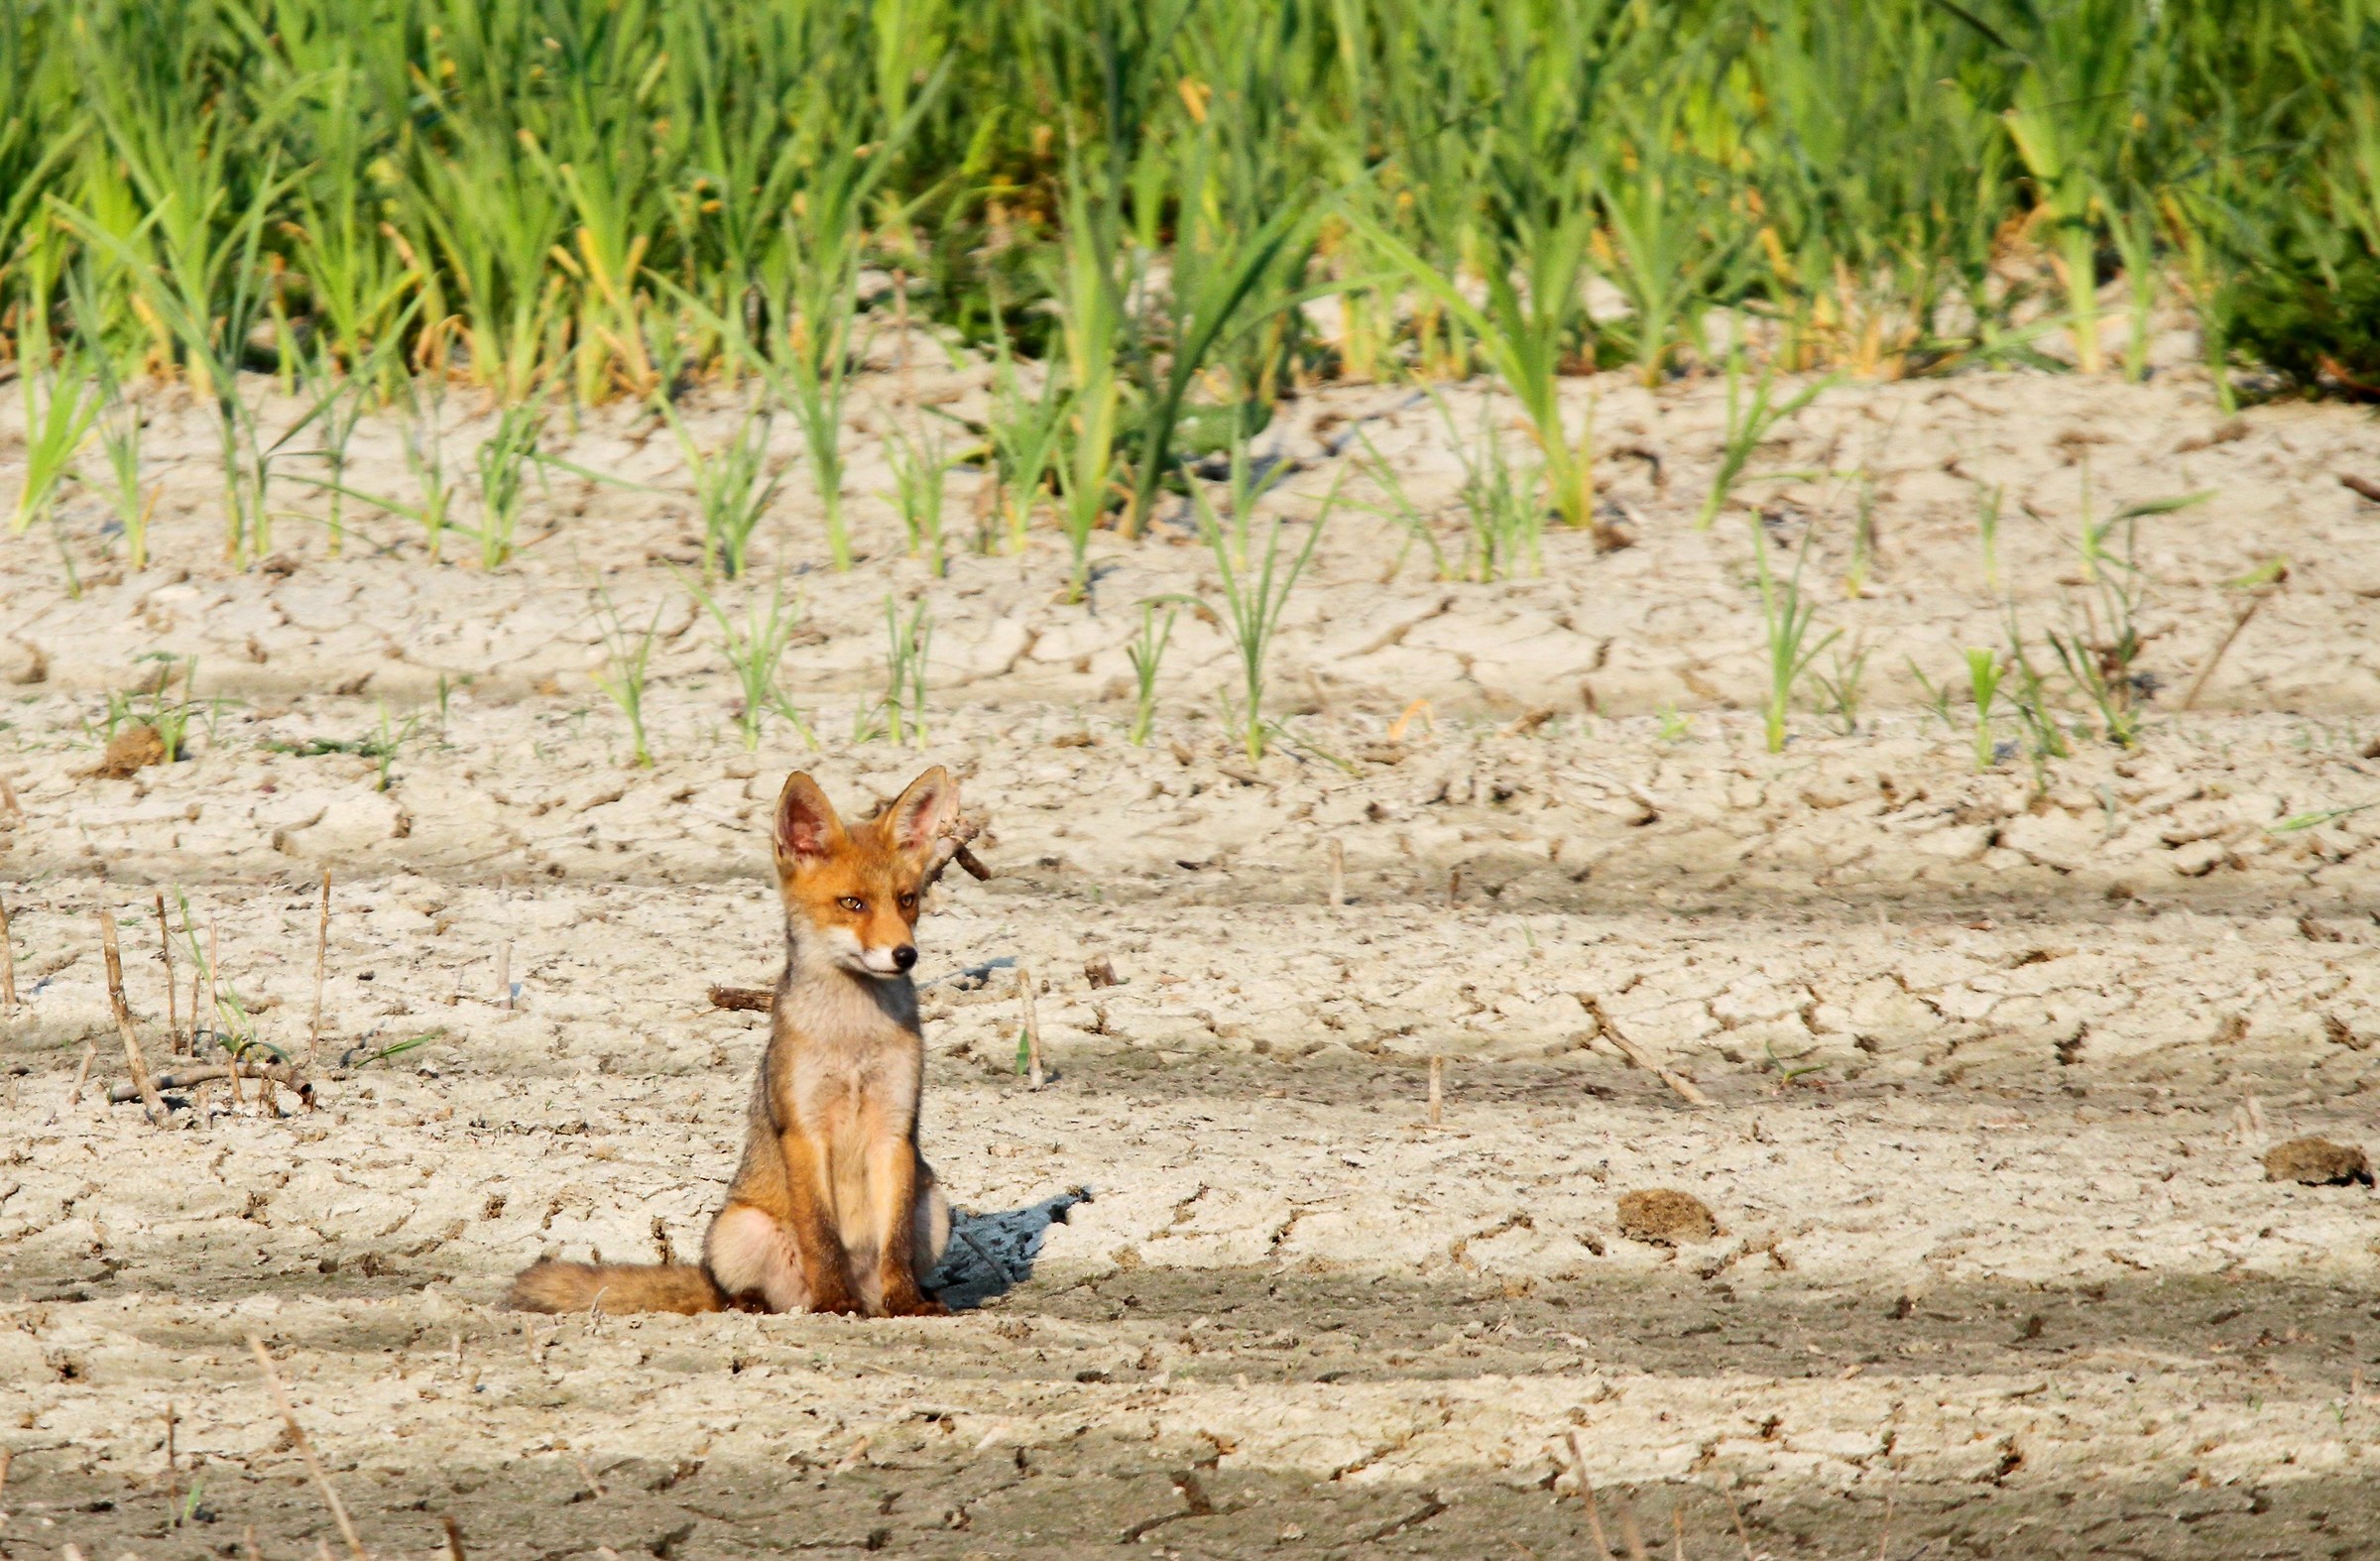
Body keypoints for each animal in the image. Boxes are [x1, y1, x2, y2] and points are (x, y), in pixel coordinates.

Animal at [508, 765, 966, 1318]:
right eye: (852, 903)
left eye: (906, 899)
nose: (905, 954)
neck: (852, 1040)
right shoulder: (802, 1129)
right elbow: (821, 1237)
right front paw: (834, 1302)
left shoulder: (895, 1129)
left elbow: (893, 1243)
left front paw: (908, 1302)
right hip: (739, 1228)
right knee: (744, 1295)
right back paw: (775, 1304)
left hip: (933, 1204)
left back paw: (903, 1297)